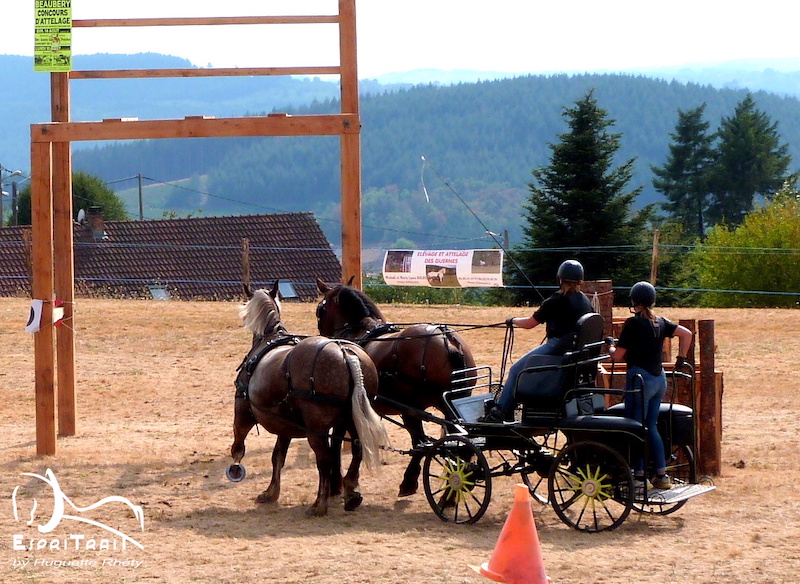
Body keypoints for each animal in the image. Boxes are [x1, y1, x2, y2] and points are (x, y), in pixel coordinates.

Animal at [228, 282, 388, 517]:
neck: (269, 338)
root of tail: (345, 352)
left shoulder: (242, 410)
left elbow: (239, 445)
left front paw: (235, 469)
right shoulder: (284, 424)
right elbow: (278, 456)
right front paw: (270, 492)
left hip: (316, 428)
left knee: (325, 460)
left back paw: (319, 504)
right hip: (351, 420)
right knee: (356, 449)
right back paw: (351, 492)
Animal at [315, 277, 477, 497]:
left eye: (320, 310)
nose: (323, 338)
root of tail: (447, 339)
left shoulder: (346, 410)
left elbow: (343, 441)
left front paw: (339, 483)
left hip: (413, 410)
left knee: (422, 444)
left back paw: (414, 483)